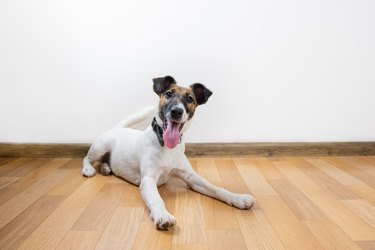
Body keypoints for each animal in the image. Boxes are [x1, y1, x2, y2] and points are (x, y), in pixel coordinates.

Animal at [82, 76, 256, 230]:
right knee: (87, 158)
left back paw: (106, 168)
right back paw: (89, 169)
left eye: (190, 99)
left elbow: (216, 188)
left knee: (103, 161)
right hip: (101, 146)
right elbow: (157, 200)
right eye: (168, 94)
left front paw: (238, 198)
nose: (176, 111)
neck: (167, 147)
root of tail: (118, 128)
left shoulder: (191, 177)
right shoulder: (148, 179)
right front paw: (163, 216)